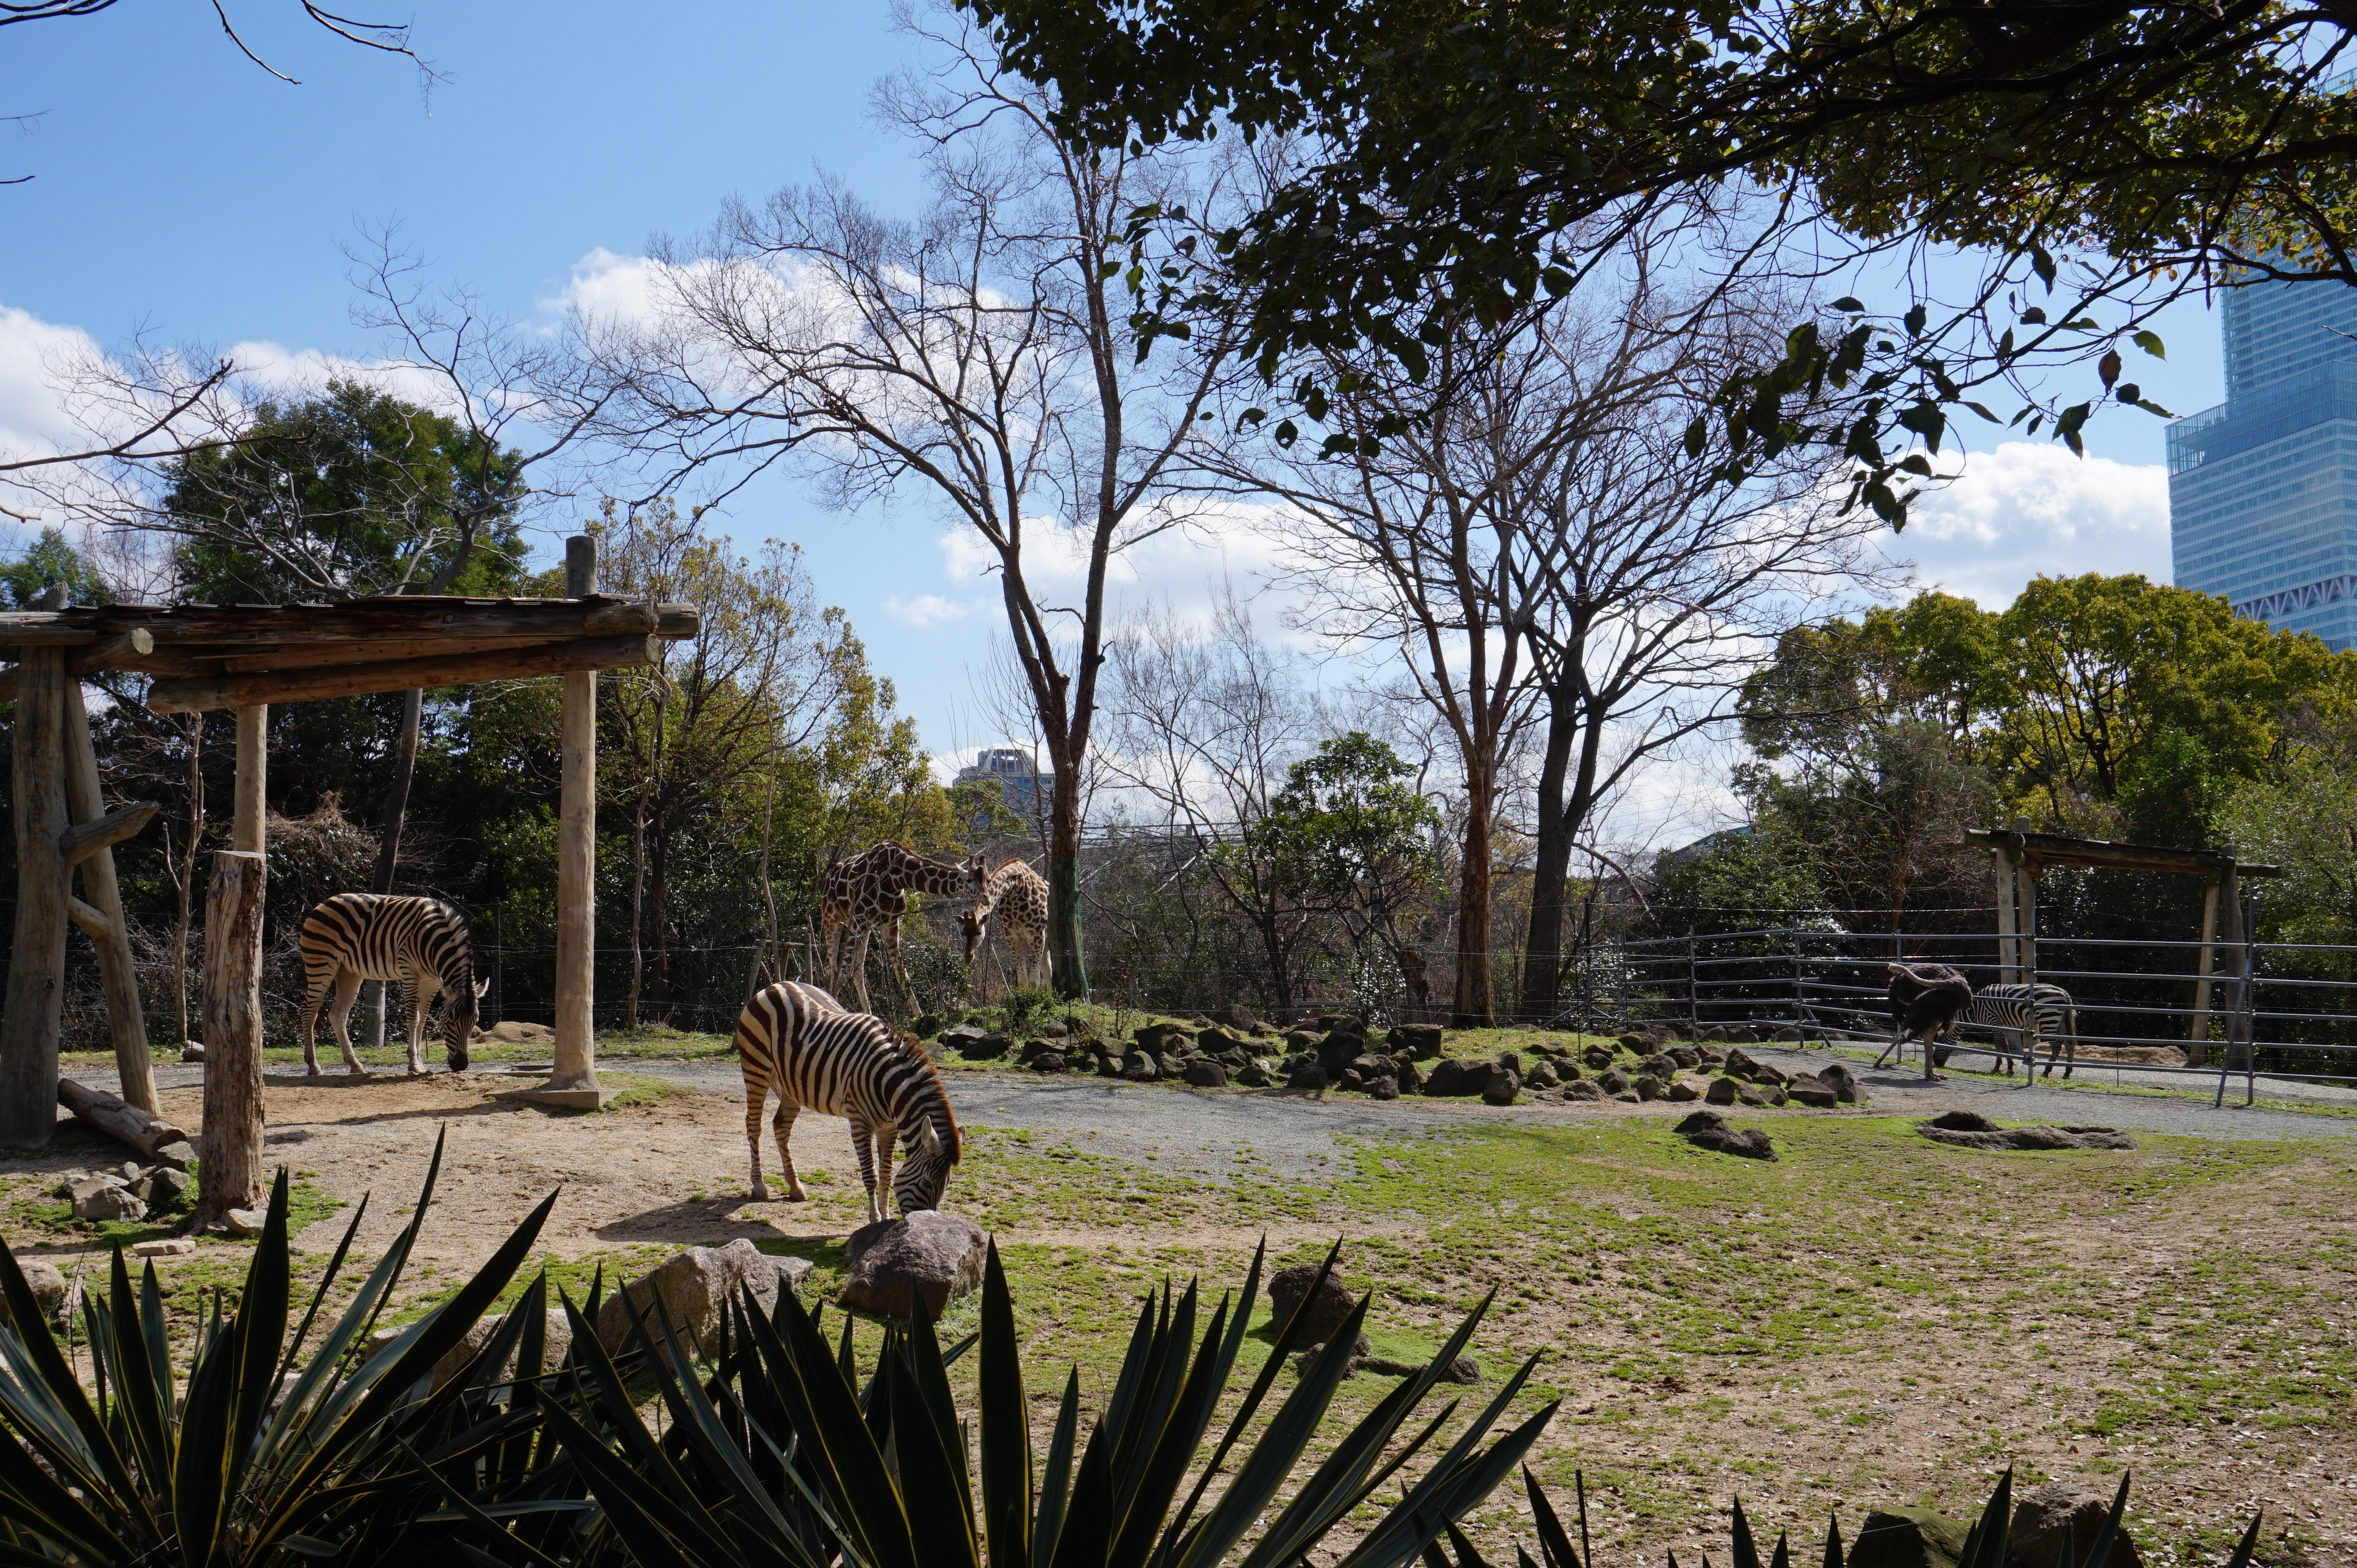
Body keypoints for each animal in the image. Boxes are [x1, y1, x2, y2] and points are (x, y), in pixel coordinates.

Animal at [299, 891, 483, 1075]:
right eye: (450, 1023)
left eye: (474, 1023)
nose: (461, 1065)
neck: (433, 941)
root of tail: (326, 902)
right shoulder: (410, 974)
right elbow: (414, 1018)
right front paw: (414, 1063)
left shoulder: (433, 982)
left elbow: (423, 1020)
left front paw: (420, 1063)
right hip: (321, 963)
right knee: (309, 1012)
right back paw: (314, 1065)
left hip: (348, 972)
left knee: (338, 1015)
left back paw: (355, 1064)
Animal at [730, 981, 961, 1226]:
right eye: (927, 1182)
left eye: (946, 1186)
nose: (926, 1222)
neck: (887, 1085)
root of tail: (777, 985)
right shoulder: (859, 1122)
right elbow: (871, 1175)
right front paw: (875, 1219)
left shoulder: (889, 1128)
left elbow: (887, 1174)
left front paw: (886, 1217)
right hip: (756, 1070)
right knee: (754, 1125)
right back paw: (759, 1186)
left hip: (792, 1086)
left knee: (781, 1126)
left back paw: (795, 1187)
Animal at [820, 844, 985, 1013]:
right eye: (969, 880)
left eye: (987, 878)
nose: (986, 897)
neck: (898, 877)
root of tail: (828, 878)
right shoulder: (859, 917)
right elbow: (843, 973)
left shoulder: (890, 921)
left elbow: (902, 974)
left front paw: (919, 1015)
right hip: (832, 916)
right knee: (831, 968)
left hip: (865, 927)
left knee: (857, 970)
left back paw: (868, 1013)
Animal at [957, 858, 1051, 990]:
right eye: (963, 933)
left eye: (979, 933)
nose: (968, 958)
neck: (1016, 890)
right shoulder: (1012, 936)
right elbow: (1023, 980)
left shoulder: (1037, 935)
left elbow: (1034, 981)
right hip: (1046, 941)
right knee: (1049, 973)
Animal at [1933, 981, 2083, 1075]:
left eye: (1939, 1041)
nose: (1936, 1063)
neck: (1974, 1010)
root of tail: (2064, 992)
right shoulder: (1995, 1025)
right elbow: (1998, 1046)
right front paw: (1997, 1067)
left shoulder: (1994, 1021)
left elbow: (2004, 1045)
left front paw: (2010, 1068)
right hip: (2060, 1022)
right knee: (2069, 1044)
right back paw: (2068, 1072)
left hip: (2048, 1019)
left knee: (2057, 1045)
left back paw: (2047, 1071)